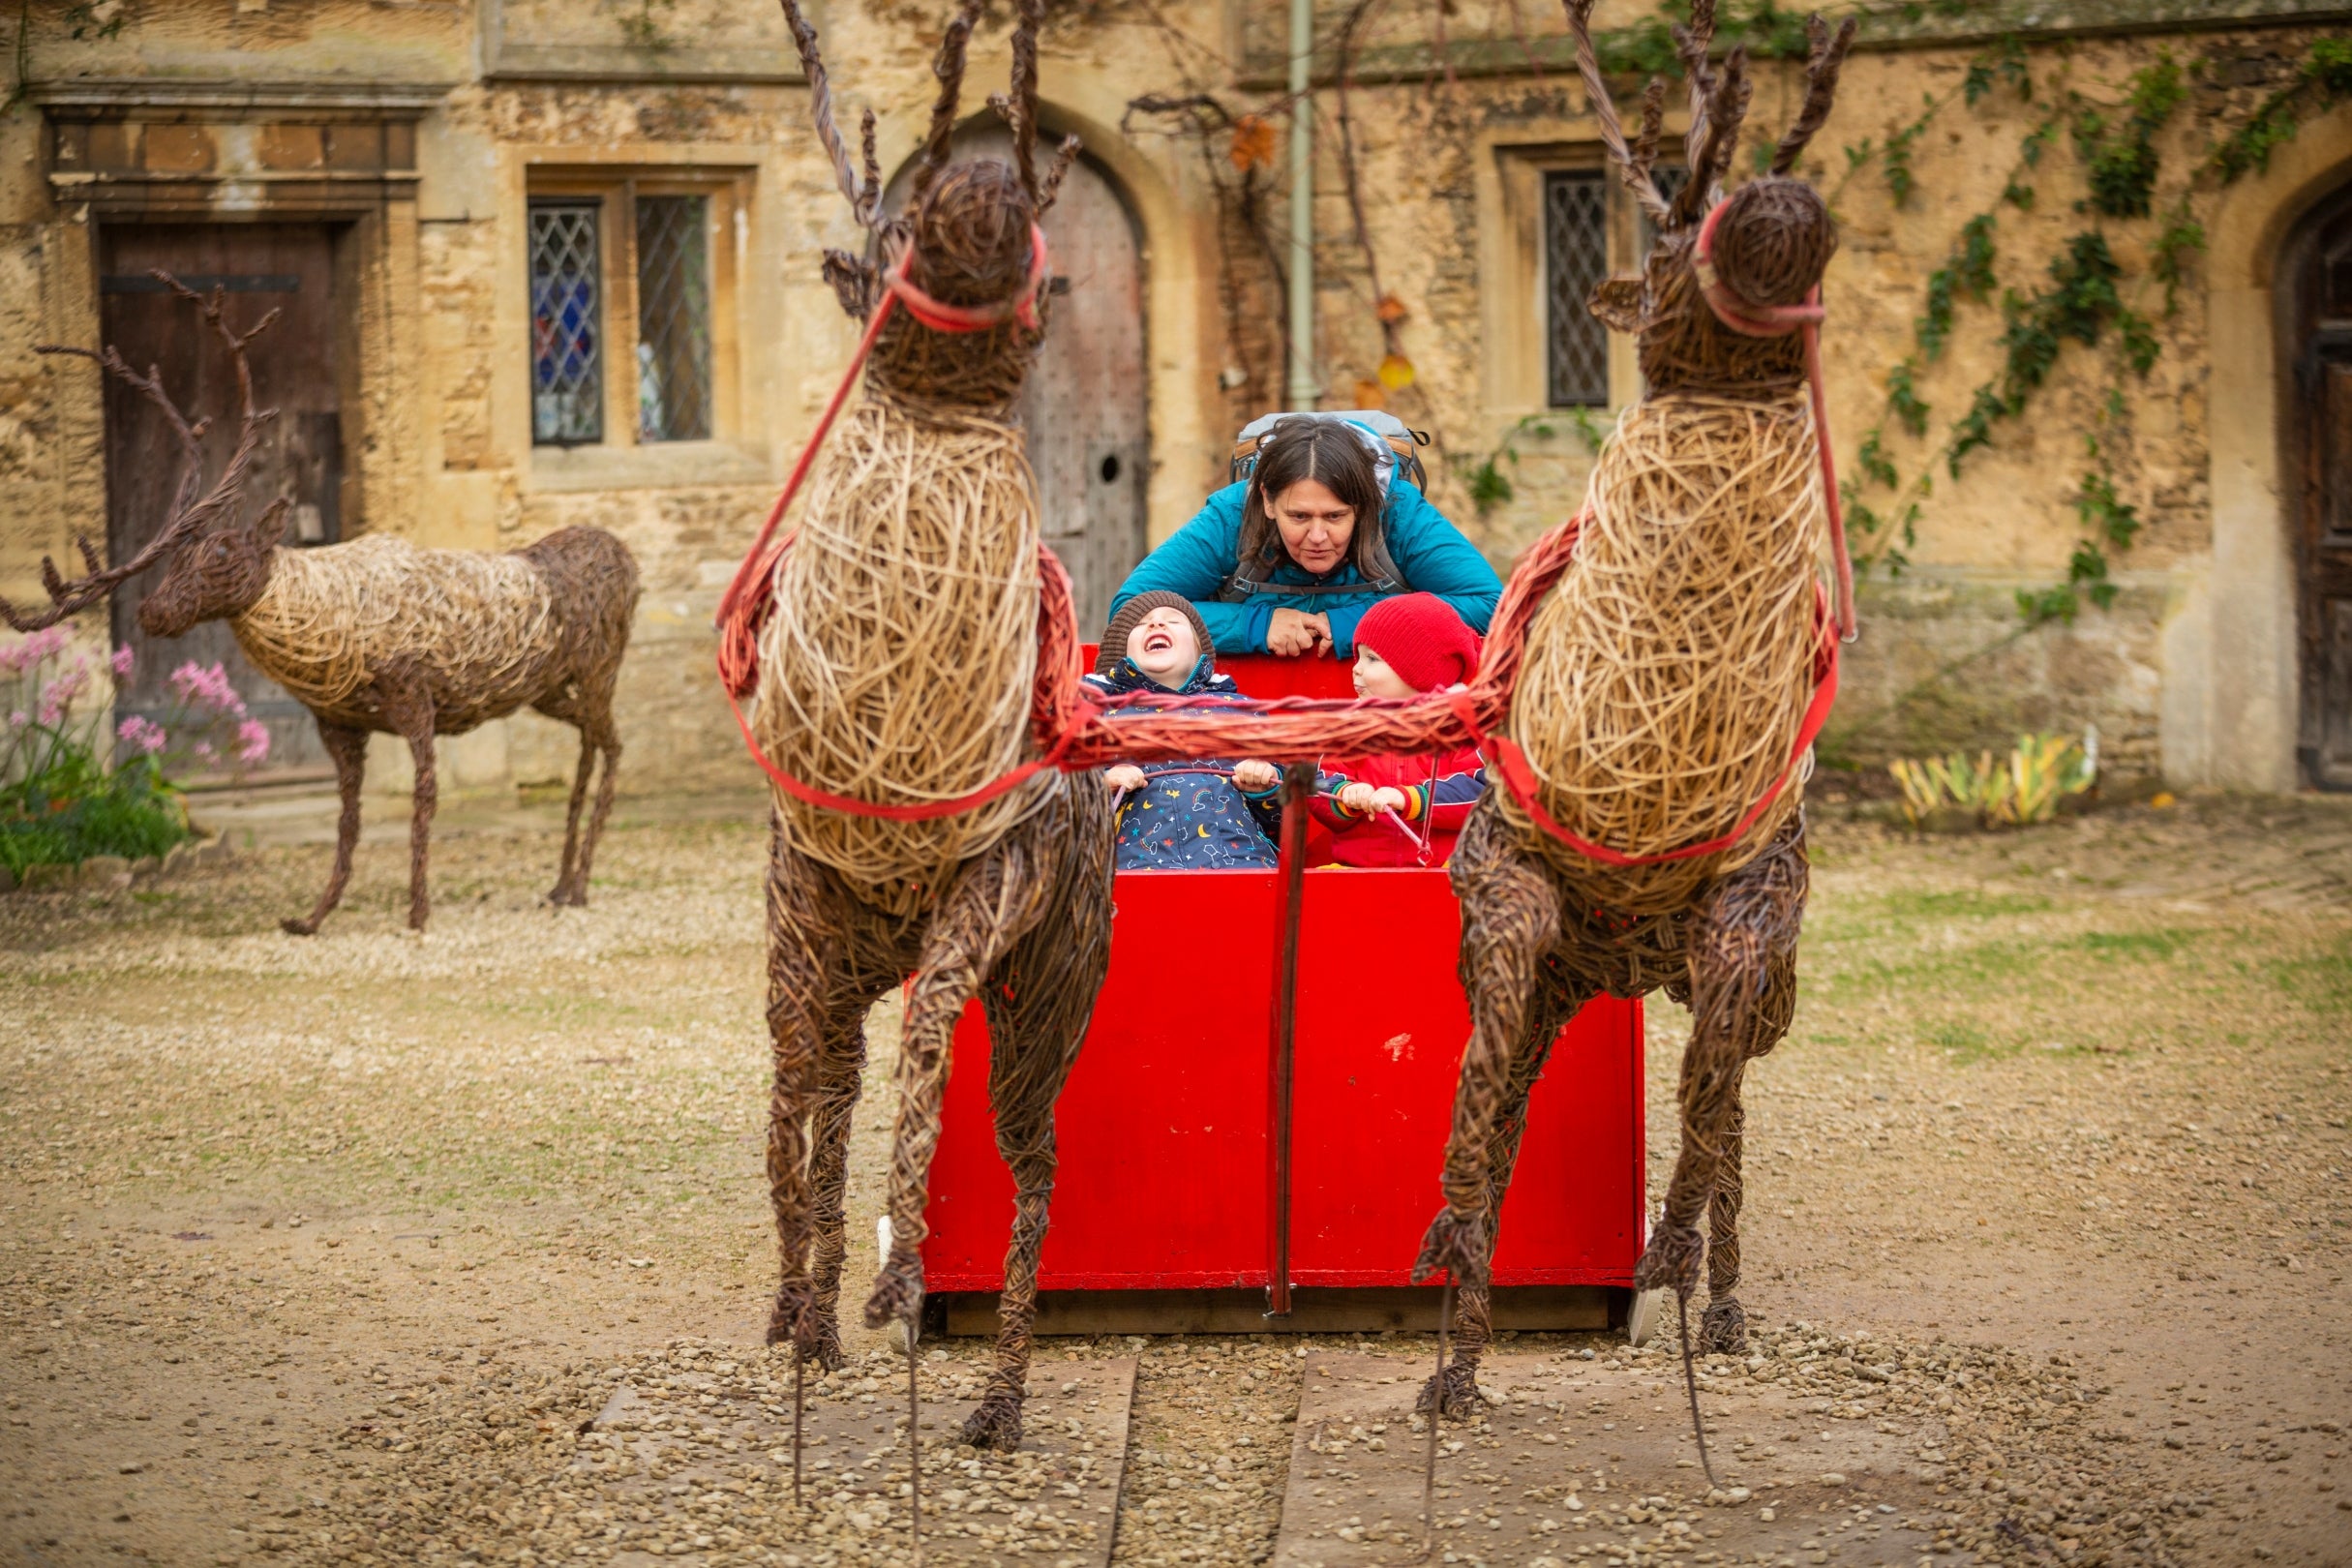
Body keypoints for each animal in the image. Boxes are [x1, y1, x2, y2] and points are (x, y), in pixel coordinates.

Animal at [3, 276, 640, 935]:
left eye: (223, 554)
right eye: (178, 559)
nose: (153, 613)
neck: (323, 629)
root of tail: (626, 560)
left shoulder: (415, 700)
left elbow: (424, 797)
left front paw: (417, 912)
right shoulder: (339, 723)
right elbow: (349, 817)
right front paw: (312, 917)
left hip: (599, 670)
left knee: (615, 744)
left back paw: (580, 884)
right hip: (552, 689)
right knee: (592, 743)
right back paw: (560, 883)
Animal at [729, 0, 1108, 1485]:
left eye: (1041, 282)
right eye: (882, 246)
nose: (985, 184)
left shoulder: (980, 897)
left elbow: (920, 1061)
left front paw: (892, 1287)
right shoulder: (803, 924)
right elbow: (796, 1119)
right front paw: (802, 1315)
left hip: (1052, 991)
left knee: (1037, 1163)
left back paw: (995, 1402)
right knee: (837, 1098)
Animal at [1406, 0, 1861, 1466]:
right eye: (1664, 231)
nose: (1777, 203)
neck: (1646, 784)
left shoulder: (1752, 913)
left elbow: (1708, 1100)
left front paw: (1667, 1264)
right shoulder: (1507, 897)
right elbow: (1481, 1108)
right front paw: (1452, 1320)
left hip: (1722, 973)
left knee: (1730, 1111)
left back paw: (1716, 1306)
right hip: (1574, 970)